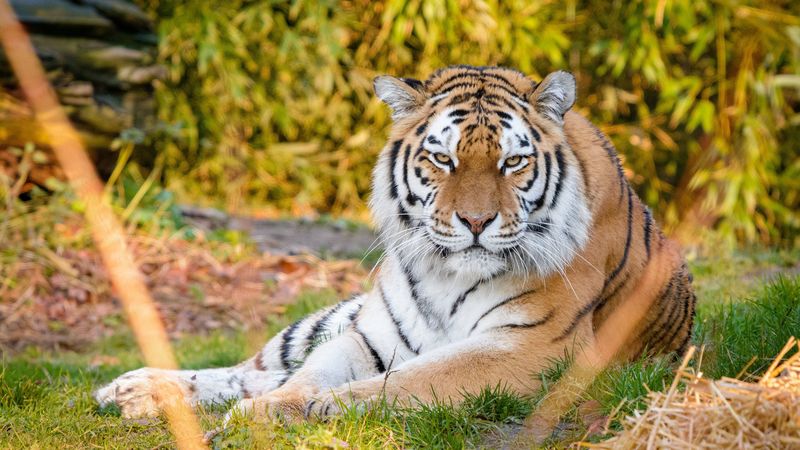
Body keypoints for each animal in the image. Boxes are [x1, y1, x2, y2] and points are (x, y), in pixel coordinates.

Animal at [94, 65, 696, 426]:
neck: (448, 274)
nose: (476, 220)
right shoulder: (370, 334)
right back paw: (131, 390)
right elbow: (313, 372)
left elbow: (412, 377)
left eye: (512, 162)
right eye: (443, 158)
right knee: (255, 367)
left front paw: (318, 407)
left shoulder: (534, 349)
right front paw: (276, 408)